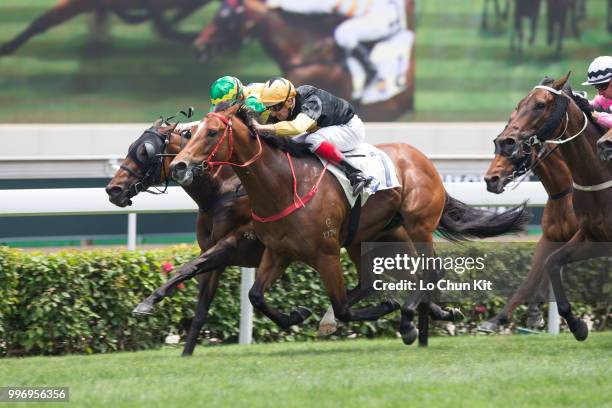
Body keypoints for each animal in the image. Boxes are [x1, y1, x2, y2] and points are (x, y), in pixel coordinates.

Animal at [170, 105, 528, 348]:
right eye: (191, 131)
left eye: (211, 132)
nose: (179, 165)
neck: (284, 185)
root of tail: (422, 159)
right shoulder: (278, 252)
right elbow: (255, 295)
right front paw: (298, 315)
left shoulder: (326, 254)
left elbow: (343, 307)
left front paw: (388, 308)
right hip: (375, 236)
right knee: (389, 277)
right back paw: (432, 313)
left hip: (417, 225)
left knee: (428, 269)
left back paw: (408, 318)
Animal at [480, 121, 576, 332]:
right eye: (496, 145)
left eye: (513, 146)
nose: (491, 180)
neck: (565, 193)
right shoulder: (551, 237)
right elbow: (534, 274)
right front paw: (498, 319)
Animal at [498, 73, 612, 342]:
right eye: (519, 103)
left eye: (540, 104)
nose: (505, 142)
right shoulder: (594, 237)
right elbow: (551, 263)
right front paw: (577, 325)